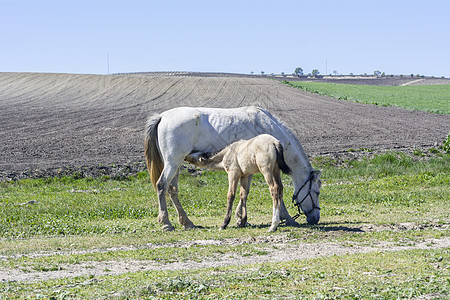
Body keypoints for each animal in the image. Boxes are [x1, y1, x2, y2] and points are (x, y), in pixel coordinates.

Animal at [144, 106, 320, 231]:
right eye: (317, 192)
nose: (315, 218)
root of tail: (162, 117)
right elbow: (250, 192)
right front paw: (286, 218)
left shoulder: (246, 171)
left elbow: (244, 192)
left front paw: (240, 218)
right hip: (173, 163)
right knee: (162, 186)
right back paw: (166, 223)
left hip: (176, 164)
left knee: (172, 189)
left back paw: (186, 222)